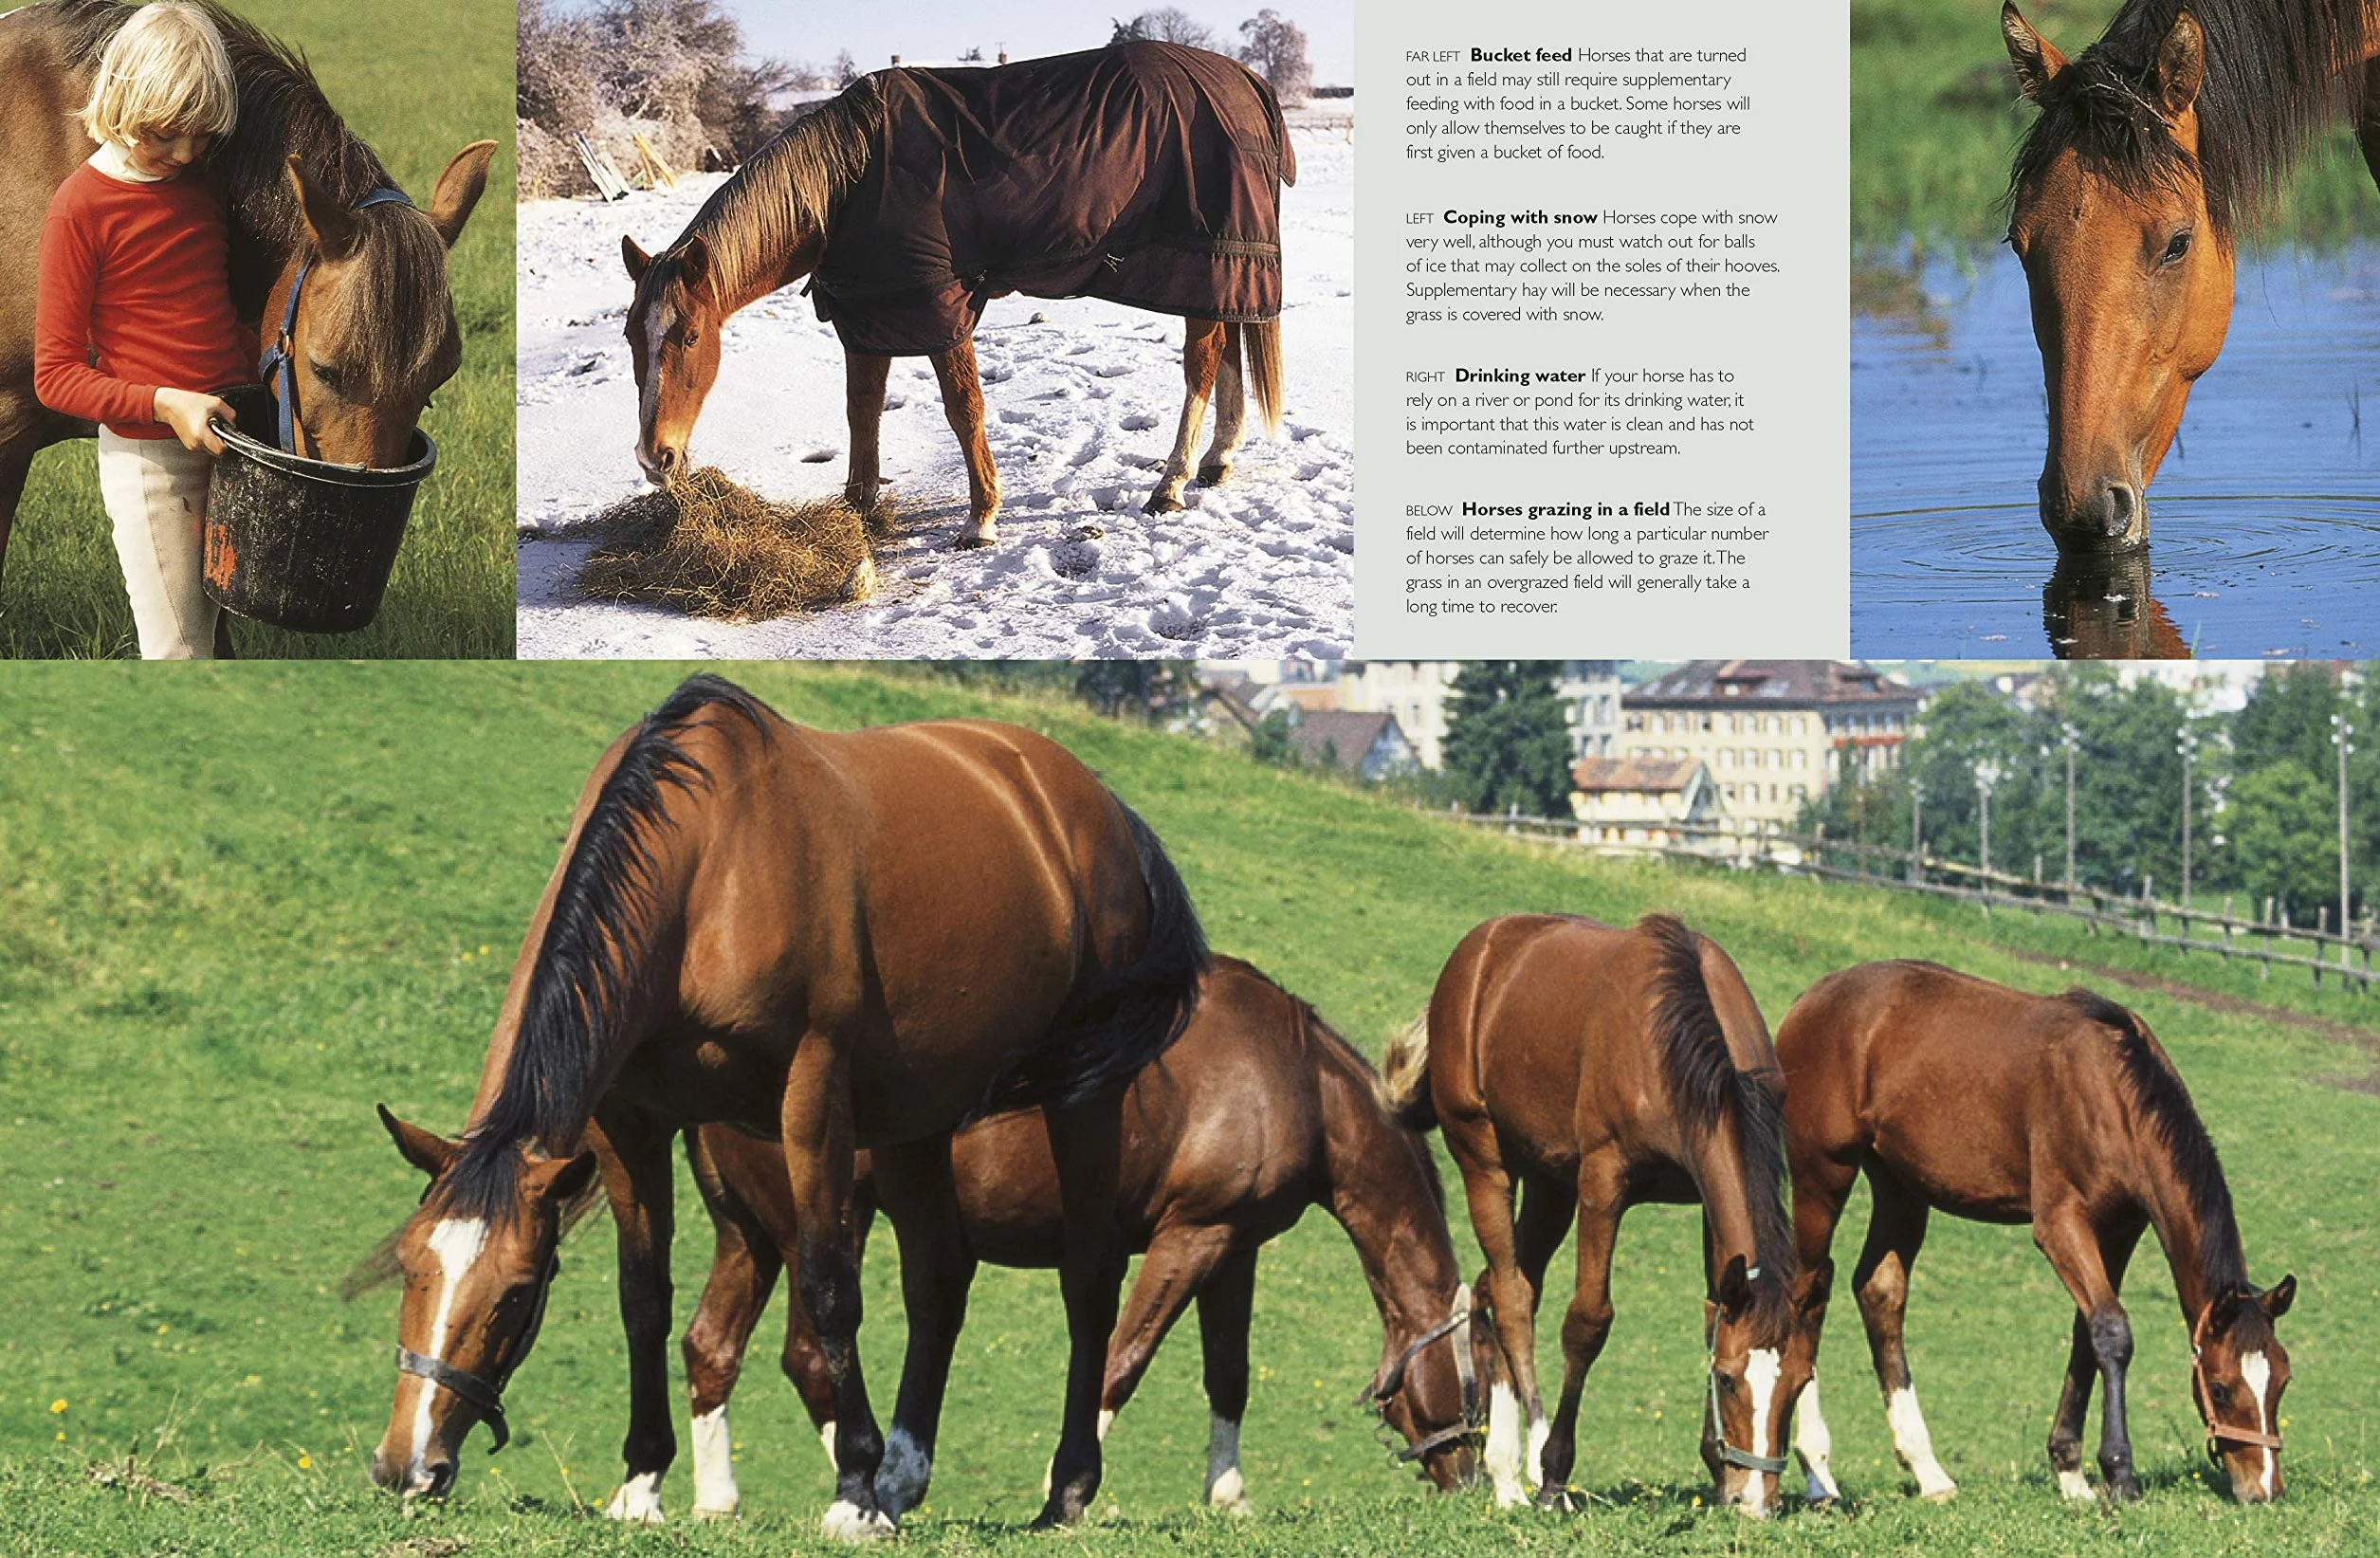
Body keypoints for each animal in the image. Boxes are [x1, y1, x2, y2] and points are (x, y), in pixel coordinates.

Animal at [367, 673, 1209, 1540]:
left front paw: (854, 1491)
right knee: (938, 1278)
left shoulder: (812, 1096)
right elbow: (643, 1298)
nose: (407, 1465)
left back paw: (1062, 1488)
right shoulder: (630, 1122)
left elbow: (829, 1290)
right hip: (917, 1114)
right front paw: (642, 1481)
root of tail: (1093, 802)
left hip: (1083, 1095)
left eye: (515, 1291)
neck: (708, 867)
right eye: (411, 1265)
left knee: (1090, 1277)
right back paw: (905, 1477)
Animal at [596, 956, 1485, 1524]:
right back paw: (861, 1489)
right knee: (810, 1354)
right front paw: (1065, 1488)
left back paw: (709, 1498)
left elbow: (1228, 1376)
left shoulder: (1234, 1248)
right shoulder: (1190, 1238)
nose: (1469, 1477)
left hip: (749, 1234)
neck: (1285, 1074)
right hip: (822, 1221)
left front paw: (1228, 1495)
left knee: (711, 1345)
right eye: (1475, 1383)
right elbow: (1122, 1361)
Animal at [620, 41, 1296, 547]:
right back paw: (1216, 460)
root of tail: (1244, 79)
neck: (850, 181)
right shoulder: (871, 312)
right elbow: (861, 411)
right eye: (631, 336)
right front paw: (859, 512)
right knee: (1226, 346)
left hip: (1203, 262)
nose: (656, 459)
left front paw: (981, 519)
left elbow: (963, 409)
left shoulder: (937, 303)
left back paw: (1171, 483)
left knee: (1202, 365)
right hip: (1219, 271)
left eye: (690, 336)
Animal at [1382, 913, 1804, 1517]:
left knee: (1501, 1285)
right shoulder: (1603, 1182)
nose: (1757, 1502)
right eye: (1727, 1381)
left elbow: (1712, 1312)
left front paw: (1719, 1472)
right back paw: (1528, 1468)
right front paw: (1555, 1473)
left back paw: (1505, 1473)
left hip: (1549, 1184)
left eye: (1799, 1384)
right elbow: (1587, 1322)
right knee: (1512, 1297)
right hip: (1484, 1159)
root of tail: (1478, 949)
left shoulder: (1706, 1198)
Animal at [1775, 962, 2296, 1506]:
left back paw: (1928, 1471)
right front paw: (2119, 1475)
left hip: (1900, 1186)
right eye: (2219, 1388)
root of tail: (1811, 998)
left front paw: (2071, 1473)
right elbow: (2113, 1331)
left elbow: (2090, 1335)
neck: (2112, 1090)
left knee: (1879, 1293)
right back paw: (1817, 1473)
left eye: (2282, 1381)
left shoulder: (2118, 1230)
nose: (2264, 1489)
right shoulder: (2061, 1223)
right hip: (1822, 1176)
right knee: (1807, 1293)